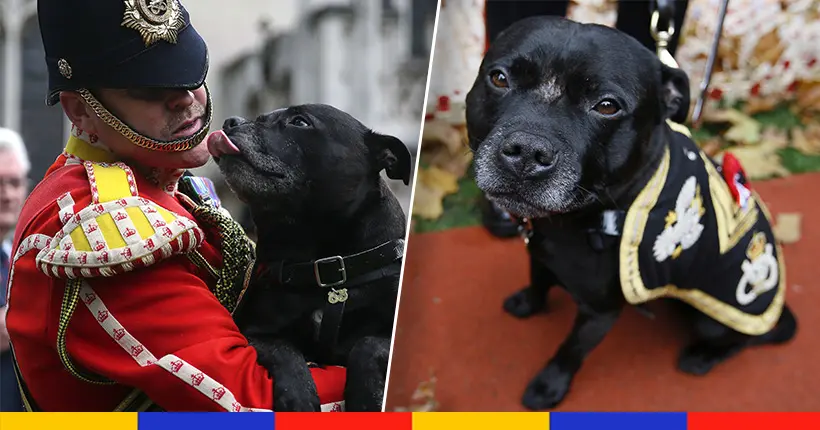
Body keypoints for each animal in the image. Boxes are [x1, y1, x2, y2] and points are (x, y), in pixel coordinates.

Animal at [205, 102, 410, 412]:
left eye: (300, 122)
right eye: (260, 117)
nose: (231, 122)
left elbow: (369, 345)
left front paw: (365, 398)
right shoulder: (254, 332)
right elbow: (284, 351)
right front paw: (298, 396)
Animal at [464, 16, 796, 410]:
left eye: (607, 106)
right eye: (499, 78)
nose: (527, 151)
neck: (581, 220)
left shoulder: (599, 313)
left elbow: (570, 351)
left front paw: (549, 385)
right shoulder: (541, 253)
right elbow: (538, 279)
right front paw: (529, 302)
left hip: (719, 318)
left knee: (740, 341)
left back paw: (702, 357)